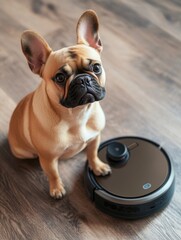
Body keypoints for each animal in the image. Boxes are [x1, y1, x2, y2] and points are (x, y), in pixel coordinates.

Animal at [8, 9, 111, 199]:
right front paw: (56, 189)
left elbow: (93, 153)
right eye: (60, 78)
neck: (77, 113)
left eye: (96, 68)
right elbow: (53, 173)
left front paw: (98, 166)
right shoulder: (48, 158)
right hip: (22, 152)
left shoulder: (95, 137)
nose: (83, 79)